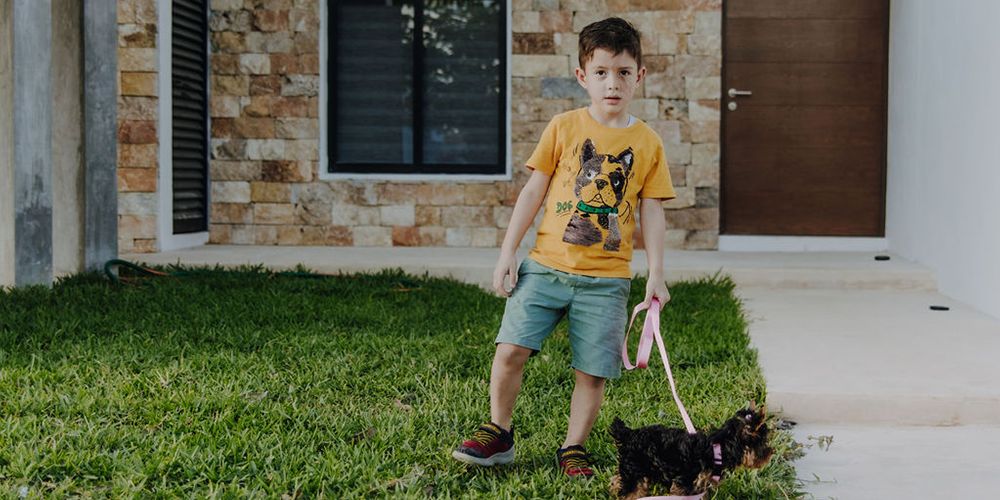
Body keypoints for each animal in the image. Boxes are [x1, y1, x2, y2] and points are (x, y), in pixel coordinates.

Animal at [608, 408, 772, 498]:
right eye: (763, 444)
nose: (770, 453)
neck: (717, 449)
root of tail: (628, 434)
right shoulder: (686, 483)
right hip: (634, 468)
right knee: (631, 490)